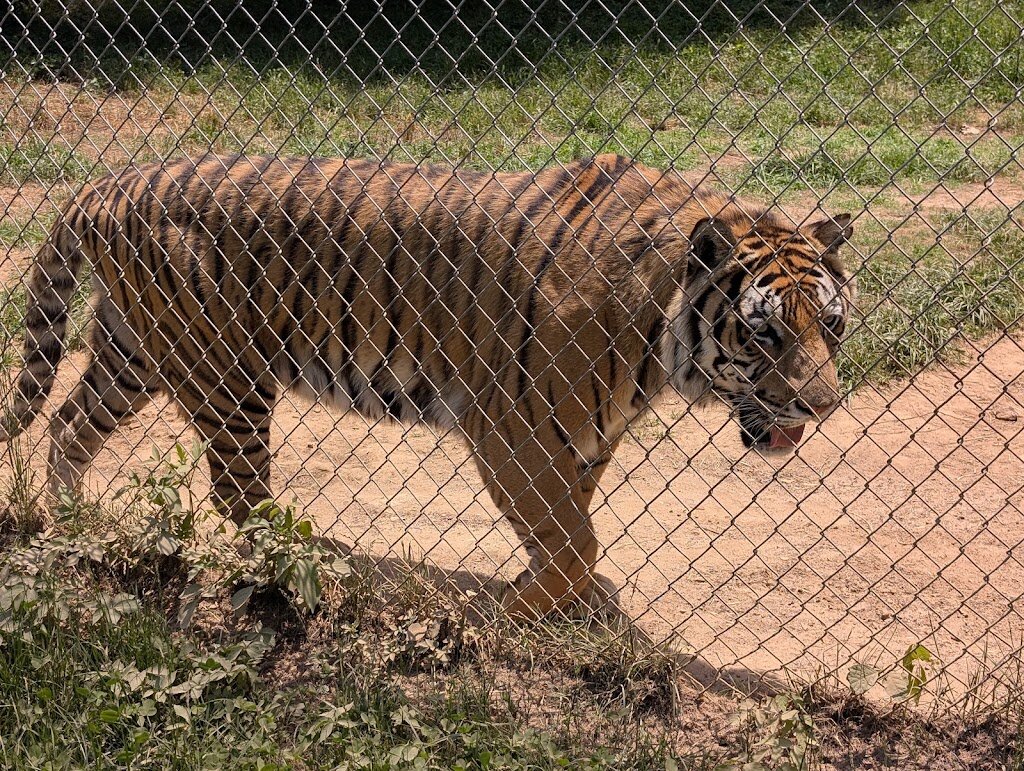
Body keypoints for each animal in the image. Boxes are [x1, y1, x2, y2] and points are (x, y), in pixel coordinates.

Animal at [0, 153, 854, 618]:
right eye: (765, 332)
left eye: (833, 326)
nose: (821, 406)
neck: (659, 339)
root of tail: (106, 181)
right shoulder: (512, 425)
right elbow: (573, 534)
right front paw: (521, 609)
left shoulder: (585, 434)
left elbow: (572, 522)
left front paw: (566, 600)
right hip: (226, 373)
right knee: (238, 494)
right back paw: (307, 562)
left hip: (135, 355)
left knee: (67, 425)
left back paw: (77, 526)